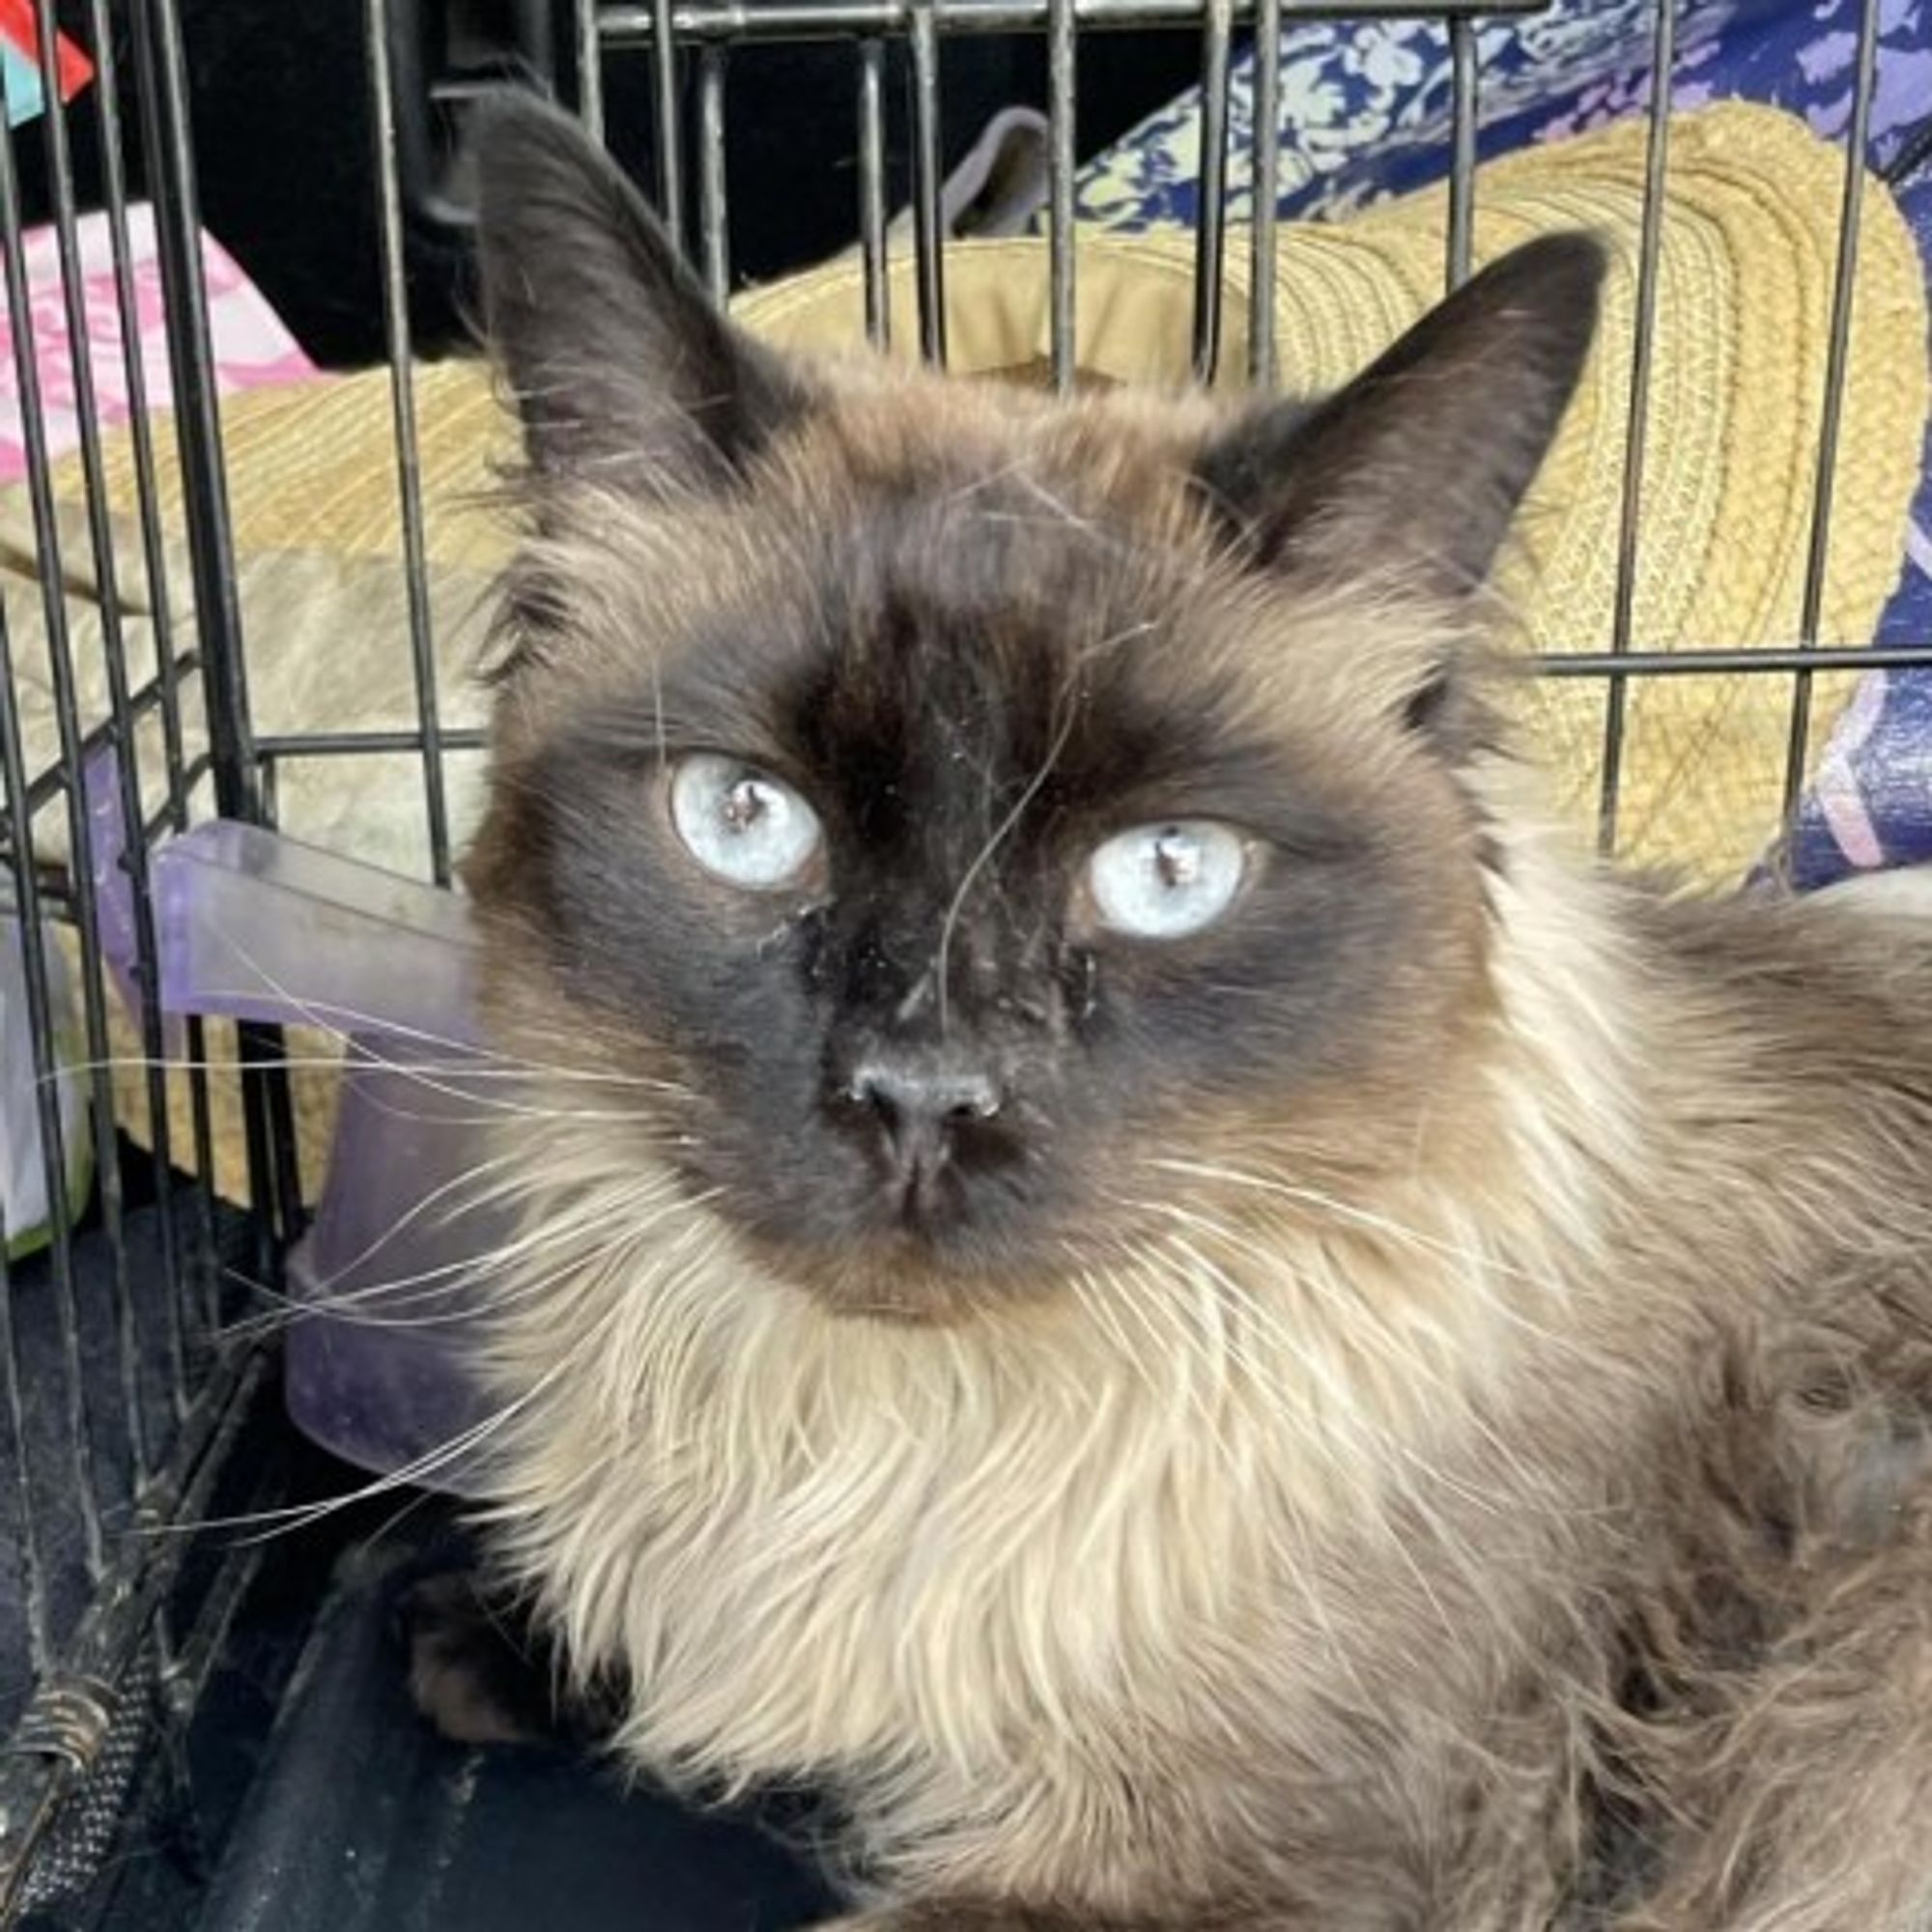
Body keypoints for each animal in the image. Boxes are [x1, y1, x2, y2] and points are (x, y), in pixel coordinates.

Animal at [431, 91, 1932, 1932]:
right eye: (745, 818)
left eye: (1166, 873)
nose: (921, 1098)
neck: (884, 1442)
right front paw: (481, 1632)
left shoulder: (1203, 1860)